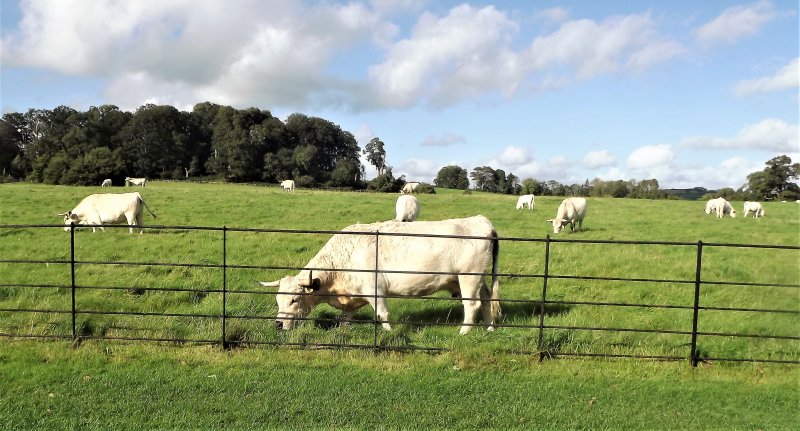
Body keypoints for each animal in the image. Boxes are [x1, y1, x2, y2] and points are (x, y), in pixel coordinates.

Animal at [258, 215, 501, 335]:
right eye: (277, 300)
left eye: (294, 299)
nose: (278, 324)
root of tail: (481, 221)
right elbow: (345, 318)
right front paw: (343, 332)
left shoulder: (375, 289)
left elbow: (383, 314)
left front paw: (388, 332)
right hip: (477, 280)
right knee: (487, 299)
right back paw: (489, 328)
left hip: (468, 278)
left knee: (472, 305)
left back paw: (464, 332)